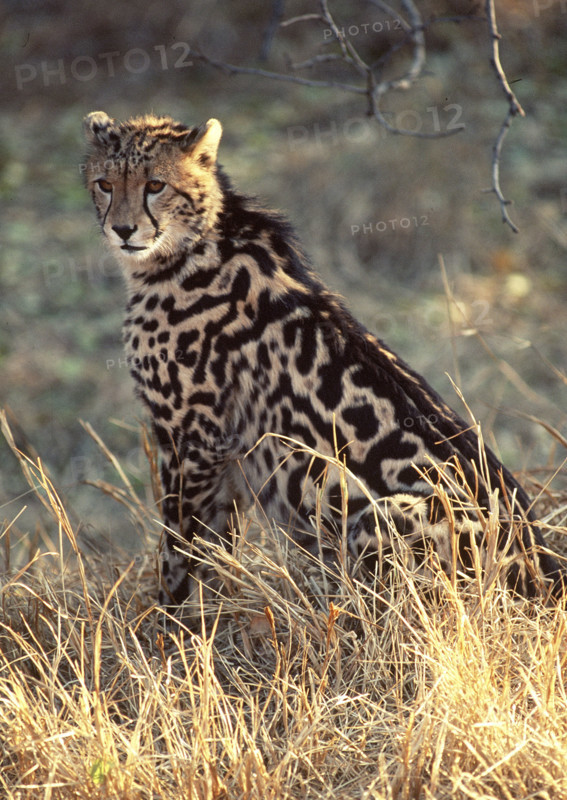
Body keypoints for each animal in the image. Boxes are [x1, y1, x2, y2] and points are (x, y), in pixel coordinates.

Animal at [82, 110, 566, 610]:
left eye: (155, 185)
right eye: (104, 184)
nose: (122, 230)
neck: (191, 246)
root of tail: (546, 575)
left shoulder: (193, 442)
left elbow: (180, 547)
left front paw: (169, 617)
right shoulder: (222, 454)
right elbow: (216, 547)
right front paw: (210, 611)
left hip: (385, 513)